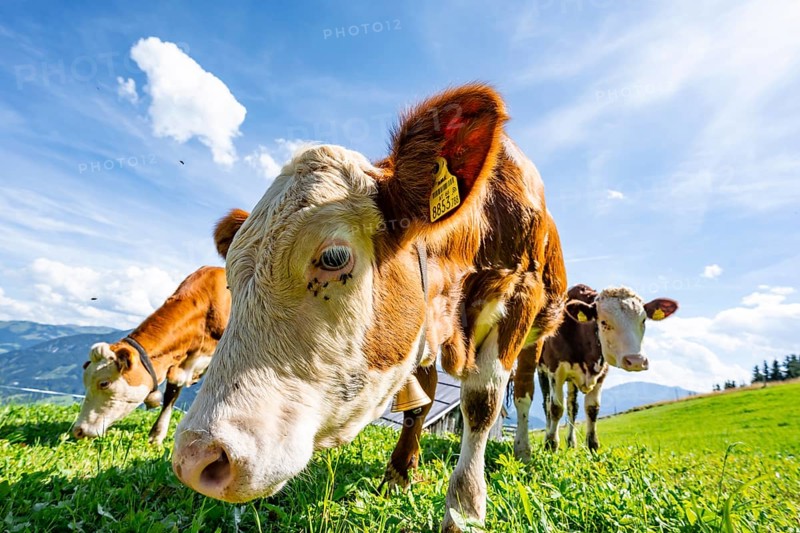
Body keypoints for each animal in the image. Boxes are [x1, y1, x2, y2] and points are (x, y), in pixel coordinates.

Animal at [170, 84, 568, 531]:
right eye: (231, 281)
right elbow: (422, 401)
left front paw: (465, 508)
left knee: (525, 394)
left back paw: (526, 451)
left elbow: (482, 402)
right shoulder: (420, 328)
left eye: (333, 258)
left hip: (537, 335)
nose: (196, 456)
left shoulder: (519, 298)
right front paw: (398, 476)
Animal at [512, 284, 678, 457]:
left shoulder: (601, 373)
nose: (636, 361)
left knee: (572, 407)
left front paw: (592, 447)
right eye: (603, 322)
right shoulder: (555, 370)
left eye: (643, 320)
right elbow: (556, 408)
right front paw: (551, 445)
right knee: (547, 406)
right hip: (542, 372)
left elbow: (592, 409)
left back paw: (571, 442)